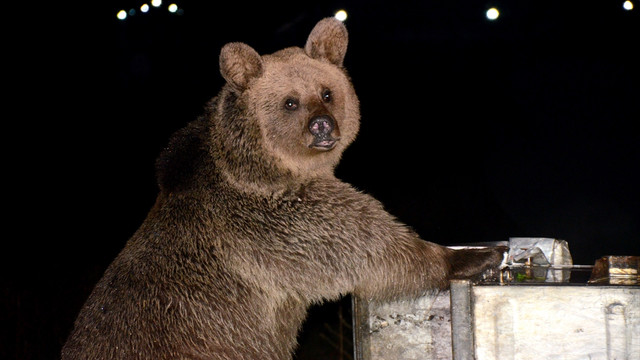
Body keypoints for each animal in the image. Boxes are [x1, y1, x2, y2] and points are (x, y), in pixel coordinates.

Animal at [62, 17, 508, 360]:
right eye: (290, 102)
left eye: (327, 92)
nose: (323, 126)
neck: (265, 167)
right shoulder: (275, 221)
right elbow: (366, 243)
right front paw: (471, 255)